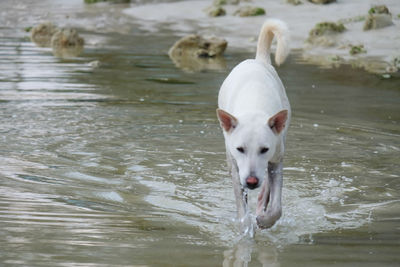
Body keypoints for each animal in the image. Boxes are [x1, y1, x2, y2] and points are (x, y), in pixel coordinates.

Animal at [216, 19, 290, 231]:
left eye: (264, 149)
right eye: (240, 149)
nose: (251, 181)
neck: (254, 108)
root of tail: (259, 60)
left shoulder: (276, 156)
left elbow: (276, 207)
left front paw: (264, 220)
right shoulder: (234, 166)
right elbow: (242, 208)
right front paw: (245, 228)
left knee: (268, 185)